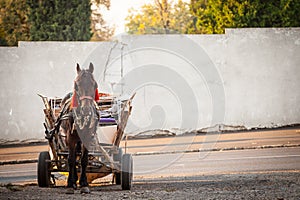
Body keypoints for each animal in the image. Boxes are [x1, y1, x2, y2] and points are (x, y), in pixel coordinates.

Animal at [59, 62, 98, 194]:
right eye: (76, 84)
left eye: (94, 84)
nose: (86, 109)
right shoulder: (70, 137)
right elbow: (71, 159)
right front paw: (70, 184)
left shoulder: (87, 137)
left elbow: (84, 160)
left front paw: (84, 183)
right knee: (73, 156)